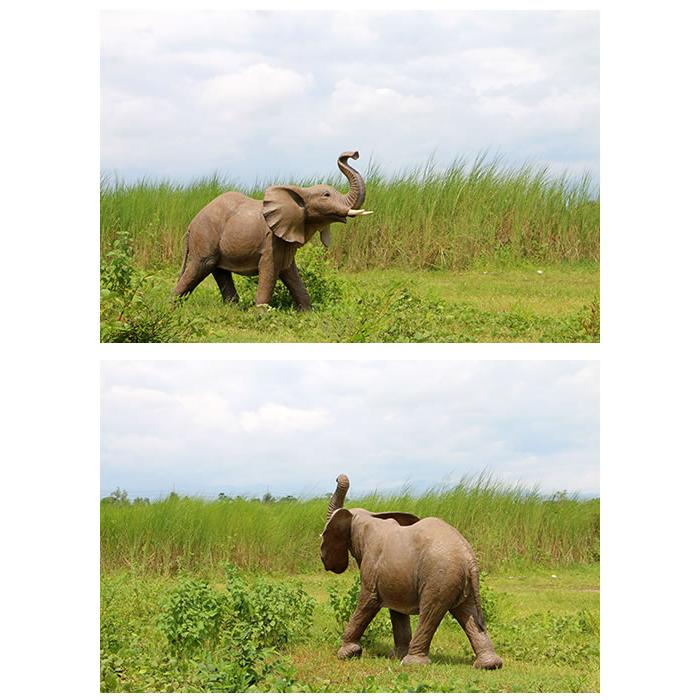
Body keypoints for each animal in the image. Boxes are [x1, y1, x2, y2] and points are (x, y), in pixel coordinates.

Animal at [173, 151, 372, 310]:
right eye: (326, 195)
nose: (354, 154)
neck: (300, 192)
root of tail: (191, 225)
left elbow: (291, 273)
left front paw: (307, 312)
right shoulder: (271, 240)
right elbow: (269, 271)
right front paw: (261, 315)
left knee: (219, 270)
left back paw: (232, 309)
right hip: (205, 236)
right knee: (202, 265)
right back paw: (172, 308)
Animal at [320, 474, 503, 669]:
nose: (338, 477)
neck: (366, 517)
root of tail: (469, 557)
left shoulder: (372, 565)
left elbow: (368, 601)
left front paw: (346, 654)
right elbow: (396, 609)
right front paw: (395, 655)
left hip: (440, 576)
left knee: (430, 612)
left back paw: (412, 663)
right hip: (458, 580)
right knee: (468, 614)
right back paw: (489, 665)